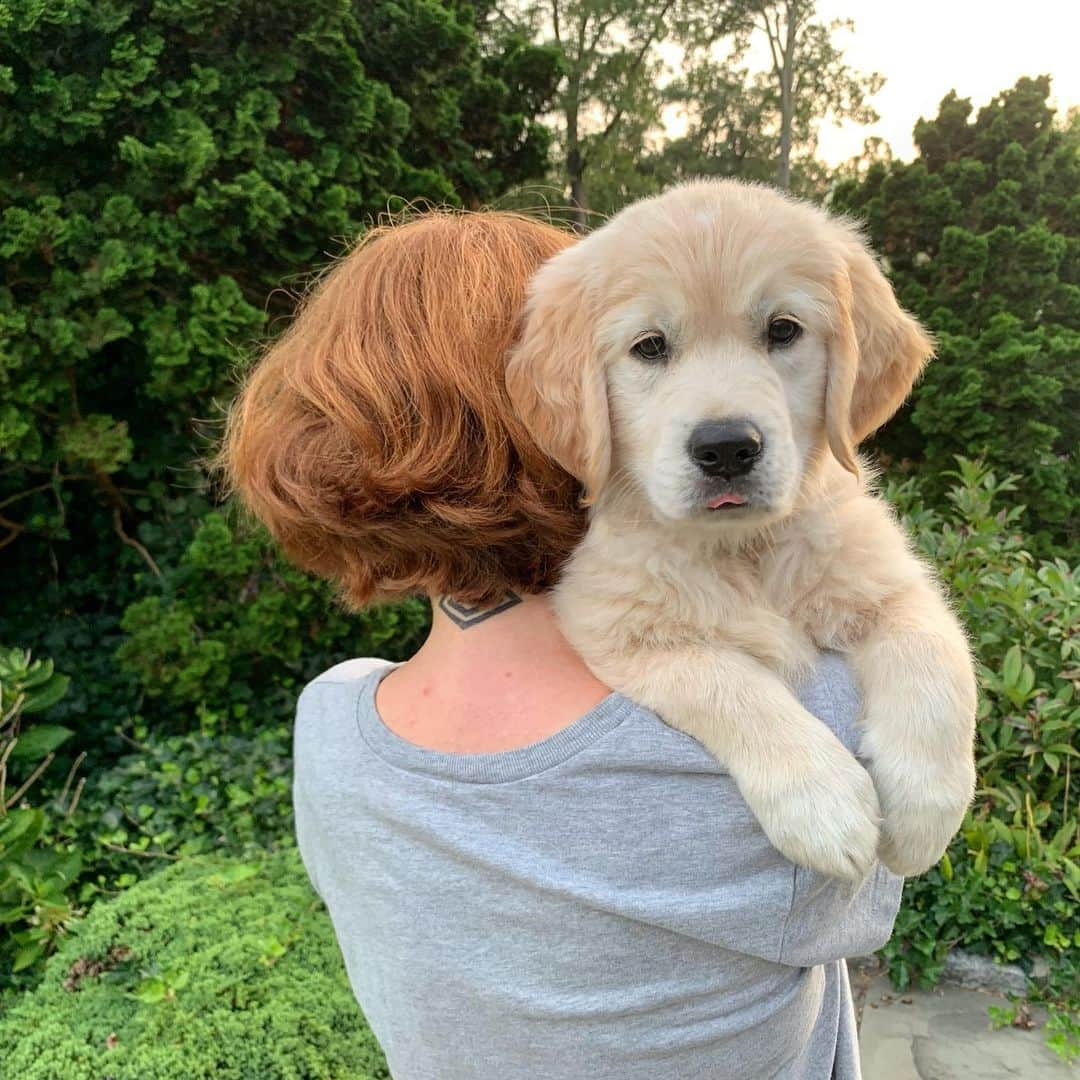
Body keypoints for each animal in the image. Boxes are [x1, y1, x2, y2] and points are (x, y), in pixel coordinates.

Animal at [505, 181, 980, 881]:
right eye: (650, 346)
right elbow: (729, 683)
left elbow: (937, 657)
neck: (746, 549)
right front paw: (824, 803)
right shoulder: (616, 624)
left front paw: (923, 814)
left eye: (783, 330)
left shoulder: (887, 581)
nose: (727, 448)